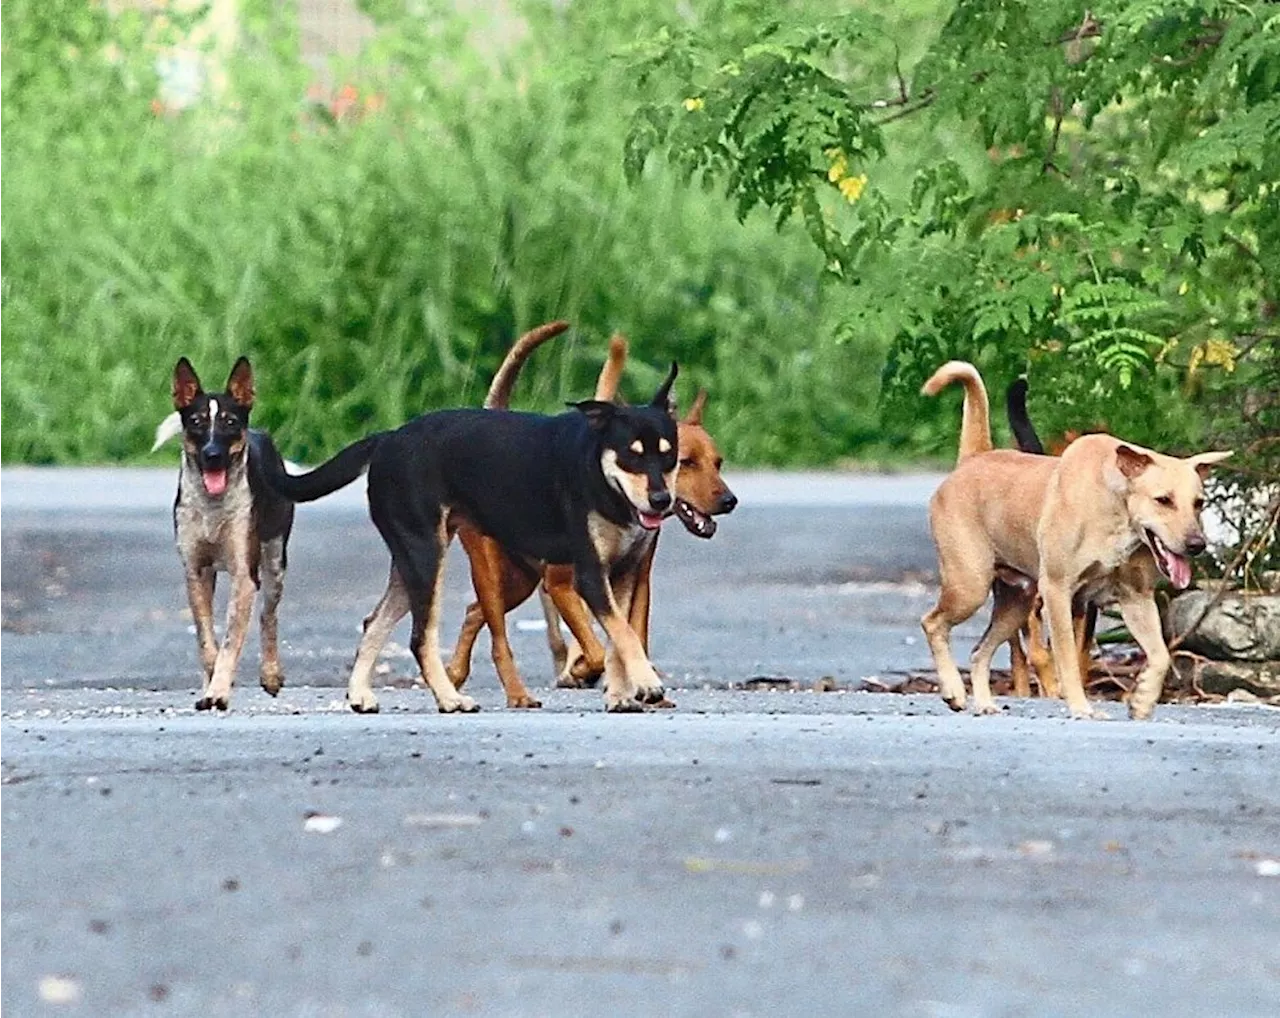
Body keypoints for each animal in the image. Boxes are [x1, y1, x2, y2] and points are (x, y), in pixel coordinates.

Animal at [253, 358, 686, 717]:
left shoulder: (624, 572)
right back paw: (450, 699)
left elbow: (618, 640)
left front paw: (620, 696)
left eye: (669, 455)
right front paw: (647, 683)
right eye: (631, 455)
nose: (661, 500)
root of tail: (389, 438)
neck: (599, 473)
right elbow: (624, 633)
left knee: (374, 621)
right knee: (420, 638)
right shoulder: (591, 575)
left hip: (411, 561)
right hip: (426, 555)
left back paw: (360, 694)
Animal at [921, 361, 1228, 722]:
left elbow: (1160, 654)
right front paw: (1081, 707)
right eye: (1163, 500)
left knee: (979, 651)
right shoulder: (1058, 591)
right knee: (933, 624)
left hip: (1016, 601)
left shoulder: (1136, 599)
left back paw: (983, 702)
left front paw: (1141, 700)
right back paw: (953, 690)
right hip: (970, 585)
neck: (1113, 509)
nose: (1197, 544)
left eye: (1199, 503)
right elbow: (1066, 658)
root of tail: (973, 458)